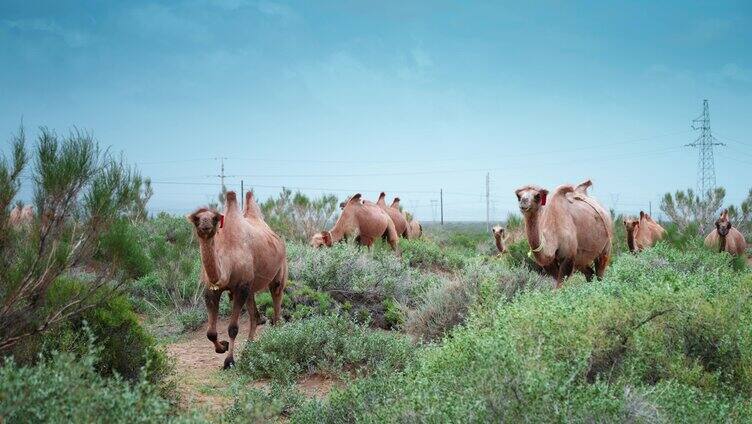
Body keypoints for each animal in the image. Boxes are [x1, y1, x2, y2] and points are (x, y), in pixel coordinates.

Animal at [188, 190, 288, 370]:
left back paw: (275, 342)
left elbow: (233, 328)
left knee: (276, 308)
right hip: (251, 287)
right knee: (254, 316)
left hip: (279, 274)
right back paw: (249, 348)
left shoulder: (241, 287)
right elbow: (210, 332)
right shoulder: (211, 290)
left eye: (214, 218)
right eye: (197, 218)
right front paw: (223, 347)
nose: (205, 225)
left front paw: (229, 361)